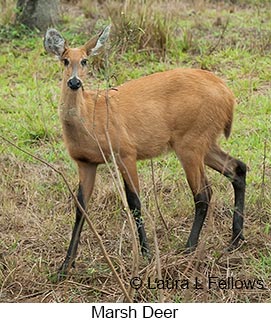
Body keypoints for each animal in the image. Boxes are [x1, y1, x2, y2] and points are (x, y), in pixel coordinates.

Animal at [43, 26, 248, 280]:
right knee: (237, 168)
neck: (91, 118)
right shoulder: (85, 162)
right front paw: (64, 267)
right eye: (64, 60)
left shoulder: (125, 152)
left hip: (190, 142)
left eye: (84, 60)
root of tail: (228, 95)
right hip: (204, 142)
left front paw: (146, 254)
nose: (74, 82)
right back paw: (235, 240)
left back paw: (188, 248)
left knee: (203, 193)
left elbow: (134, 202)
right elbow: (81, 208)